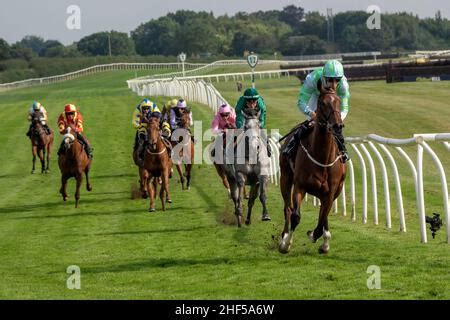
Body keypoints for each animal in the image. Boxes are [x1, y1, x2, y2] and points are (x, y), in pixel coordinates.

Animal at [280, 86, 346, 254]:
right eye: (322, 103)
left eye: (339, 101)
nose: (337, 126)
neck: (322, 158)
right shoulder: (300, 186)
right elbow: (296, 216)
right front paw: (286, 243)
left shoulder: (331, 192)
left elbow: (322, 218)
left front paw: (318, 238)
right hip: (285, 177)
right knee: (288, 209)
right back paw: (284, 236)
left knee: (323, 214)